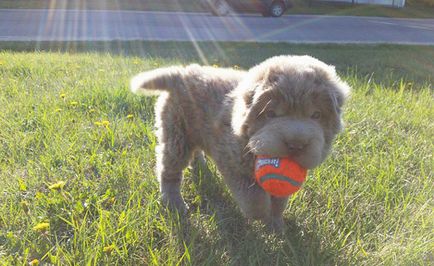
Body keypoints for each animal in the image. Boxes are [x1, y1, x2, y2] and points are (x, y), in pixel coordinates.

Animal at [131, 55, 350, 230]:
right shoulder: (232, 163)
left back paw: (200, 166)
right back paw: (174, 203)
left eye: (316, 115)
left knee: (195, 151)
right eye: (271, 114)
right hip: (177, 135)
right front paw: (262, 216)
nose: (296, 144)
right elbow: (254, 200)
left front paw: (277, 226)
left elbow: (279, 200)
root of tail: (181, 73)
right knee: (169, 170)